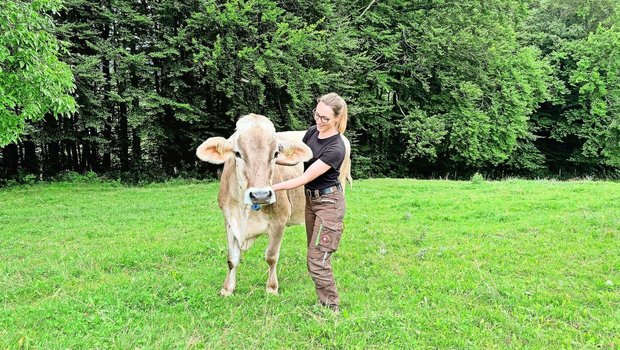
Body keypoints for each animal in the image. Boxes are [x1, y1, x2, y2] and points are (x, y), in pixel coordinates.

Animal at [196, 114, 352, 296]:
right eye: (237, 153)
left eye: (276, 153)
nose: (261, 195)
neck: (245, 213)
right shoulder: (229, 221)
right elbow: (232, 259)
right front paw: (227, 289)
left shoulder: (279, 221)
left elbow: (271, 256)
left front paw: (271, 288)